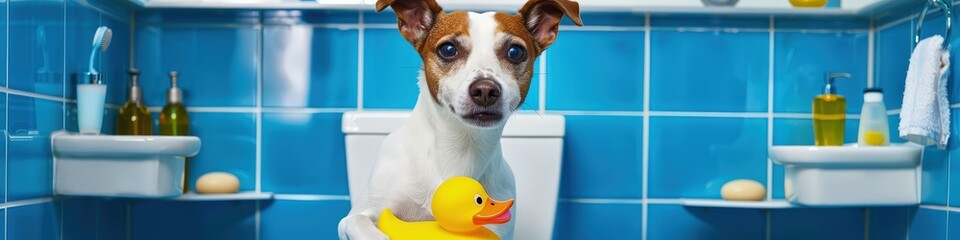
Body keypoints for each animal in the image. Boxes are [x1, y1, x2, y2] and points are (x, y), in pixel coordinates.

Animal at [338, 0, 576, 239]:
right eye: (448, 49)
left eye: (515, 52)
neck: (460, 148)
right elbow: (360, 222)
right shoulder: (355, 216)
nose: (485, 90)